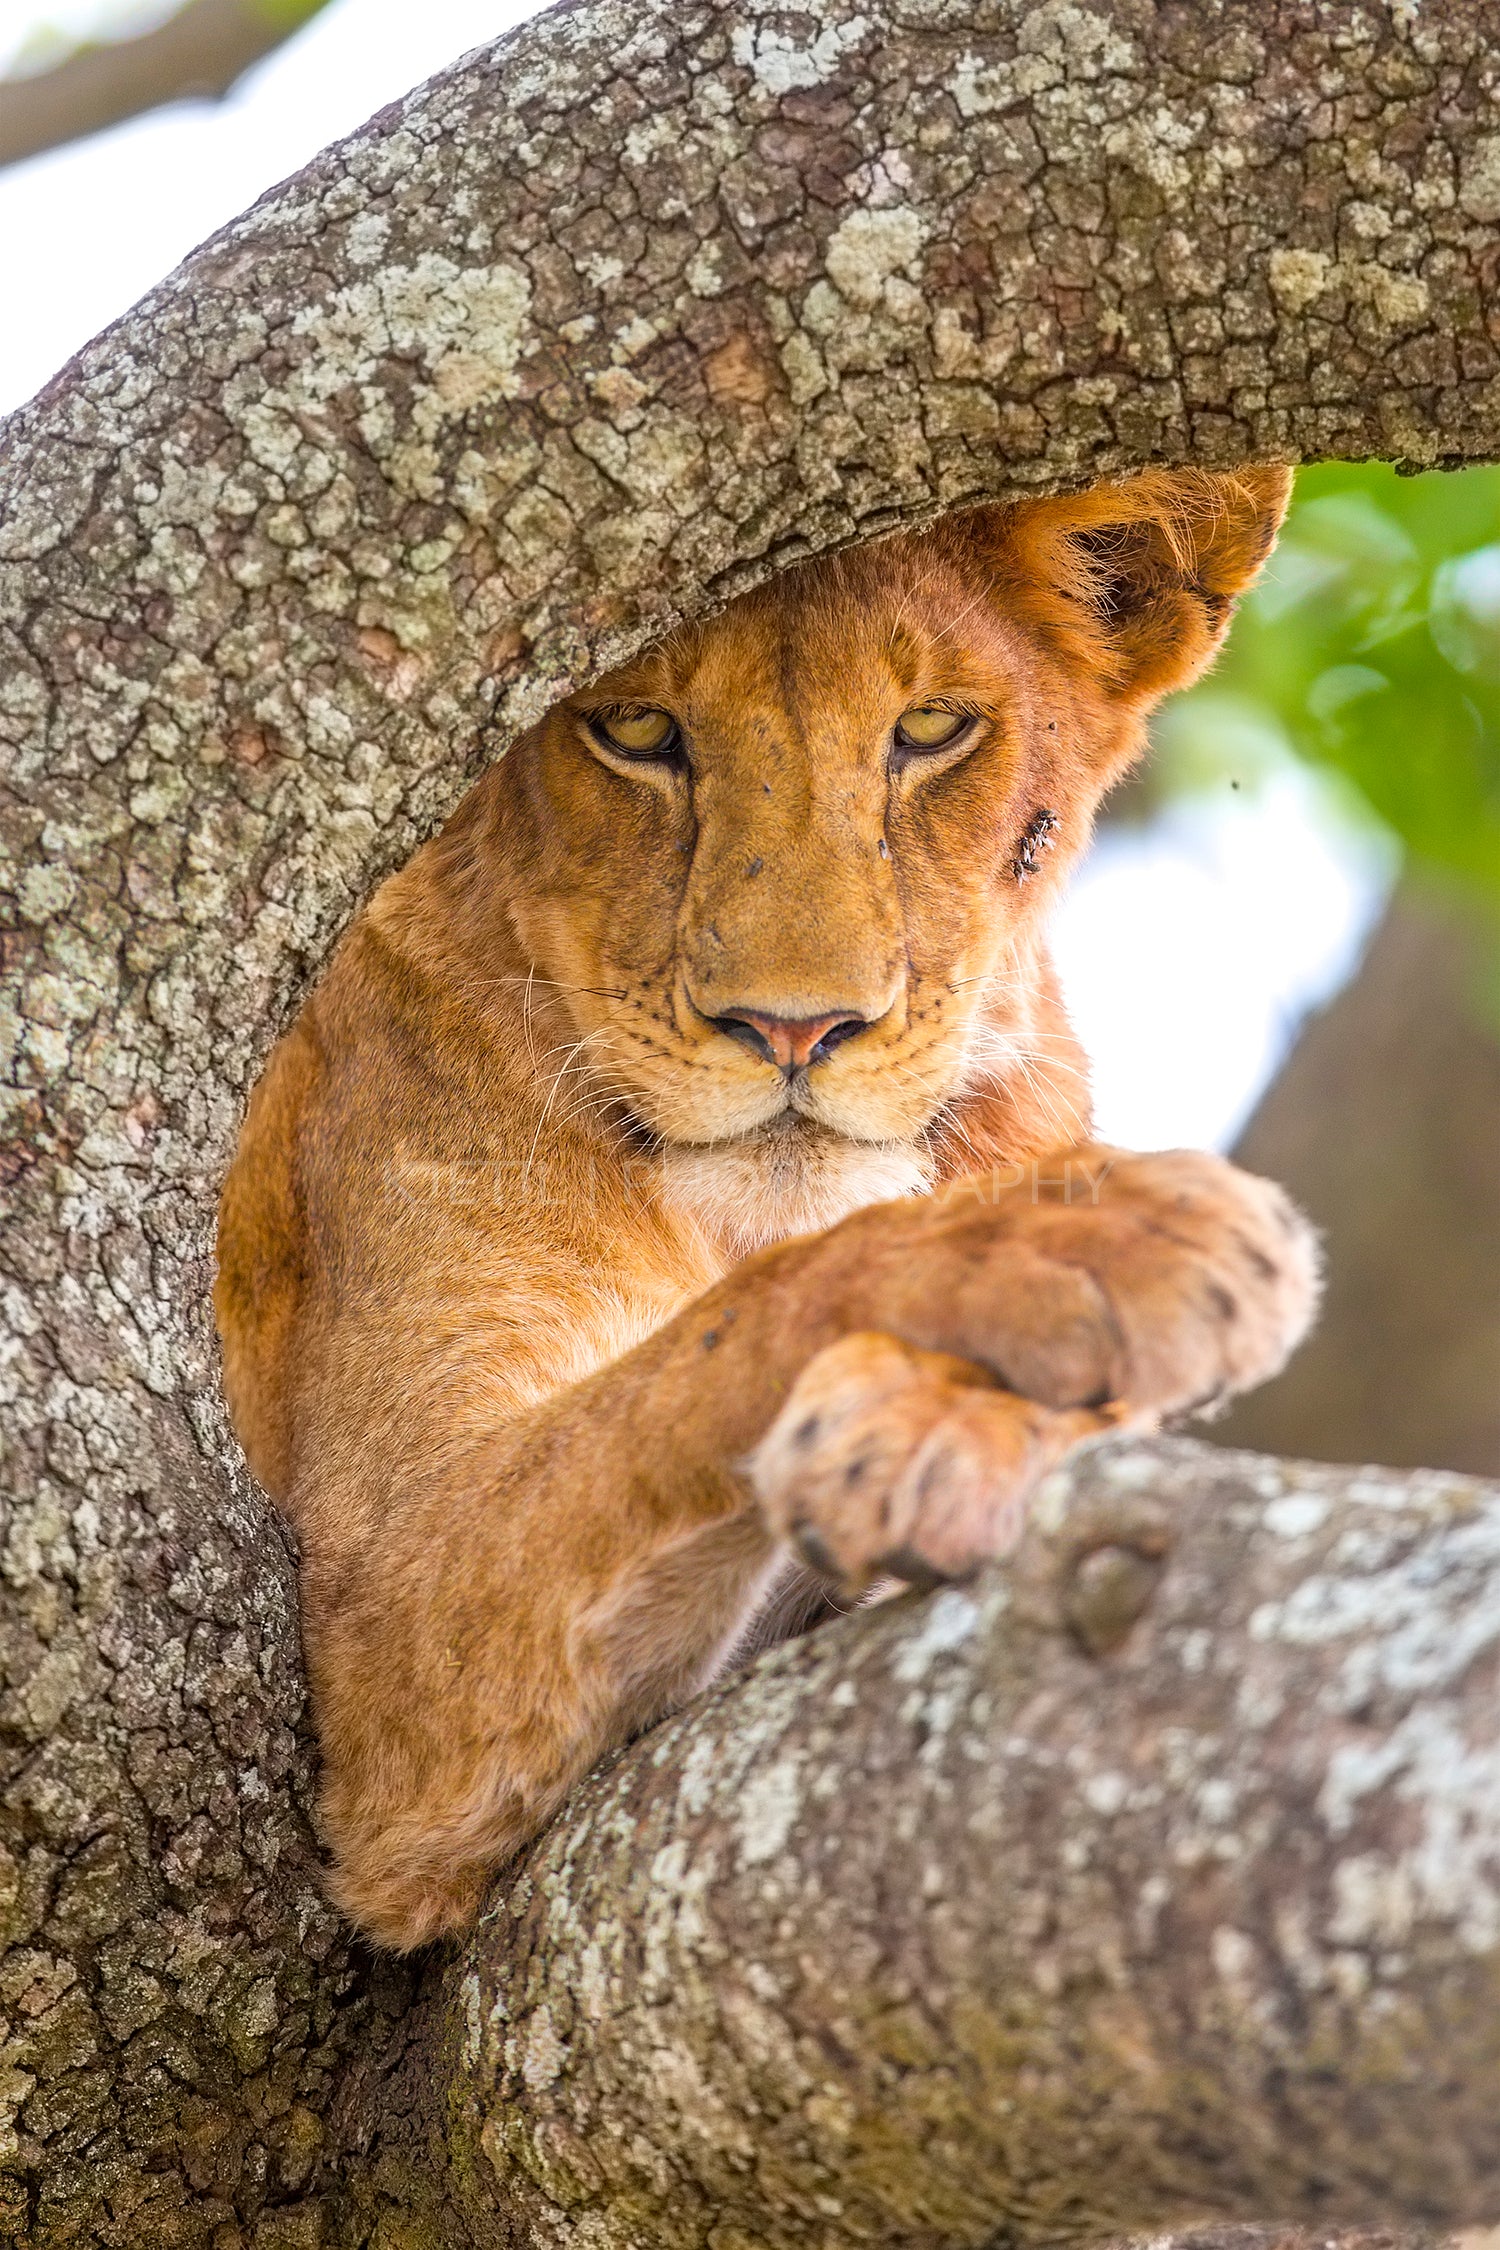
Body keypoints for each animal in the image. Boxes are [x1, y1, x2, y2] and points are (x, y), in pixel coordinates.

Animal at [217, 461, 1322, 1953]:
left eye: (930, 729)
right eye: (634, 728)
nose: (795, 1028)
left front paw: (946, 1426)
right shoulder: (384, 1618)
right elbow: (719, 1336)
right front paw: (1101, 1241)